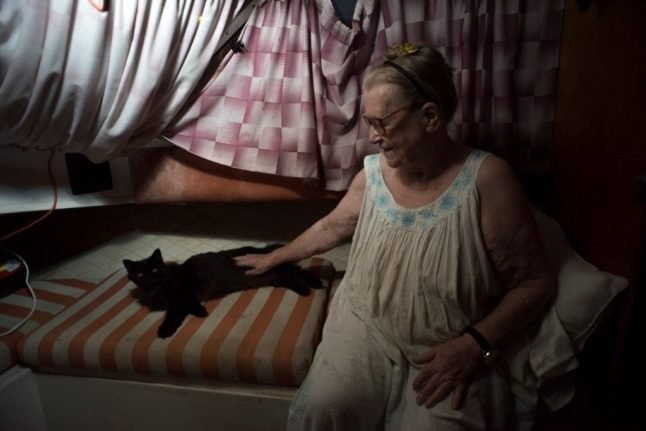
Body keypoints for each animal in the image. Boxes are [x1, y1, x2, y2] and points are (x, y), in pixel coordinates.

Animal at [122, 245, 324, 340]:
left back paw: (315, 283)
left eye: (155, 269)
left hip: (273, 270)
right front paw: (201, 311)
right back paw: (304, 289)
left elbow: (174, 314)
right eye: (140, 274)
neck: (160, 287)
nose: (150, 278)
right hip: (272, 277)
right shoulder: (185, 297)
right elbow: (188, 307)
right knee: (291, 276)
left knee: (298, 271)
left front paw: (164, 330)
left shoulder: (183, 295)